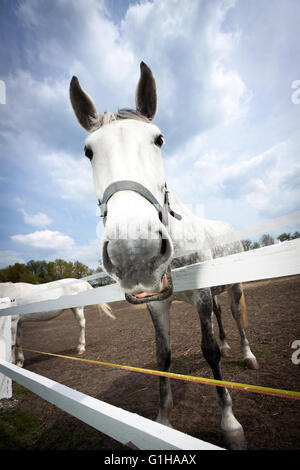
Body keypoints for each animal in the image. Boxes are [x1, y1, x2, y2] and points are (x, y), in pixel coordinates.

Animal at [68, 61, 258, 448]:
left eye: (159, 139)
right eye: (88, 150)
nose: (134, 251)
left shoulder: (201, 295)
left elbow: (208, 351)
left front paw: (230, 424)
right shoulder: (157, 304)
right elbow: (163, 356)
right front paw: (163, 422)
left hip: (234, 287)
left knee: (235, 315)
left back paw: (247, 354)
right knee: (222, 318)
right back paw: (230, 347)